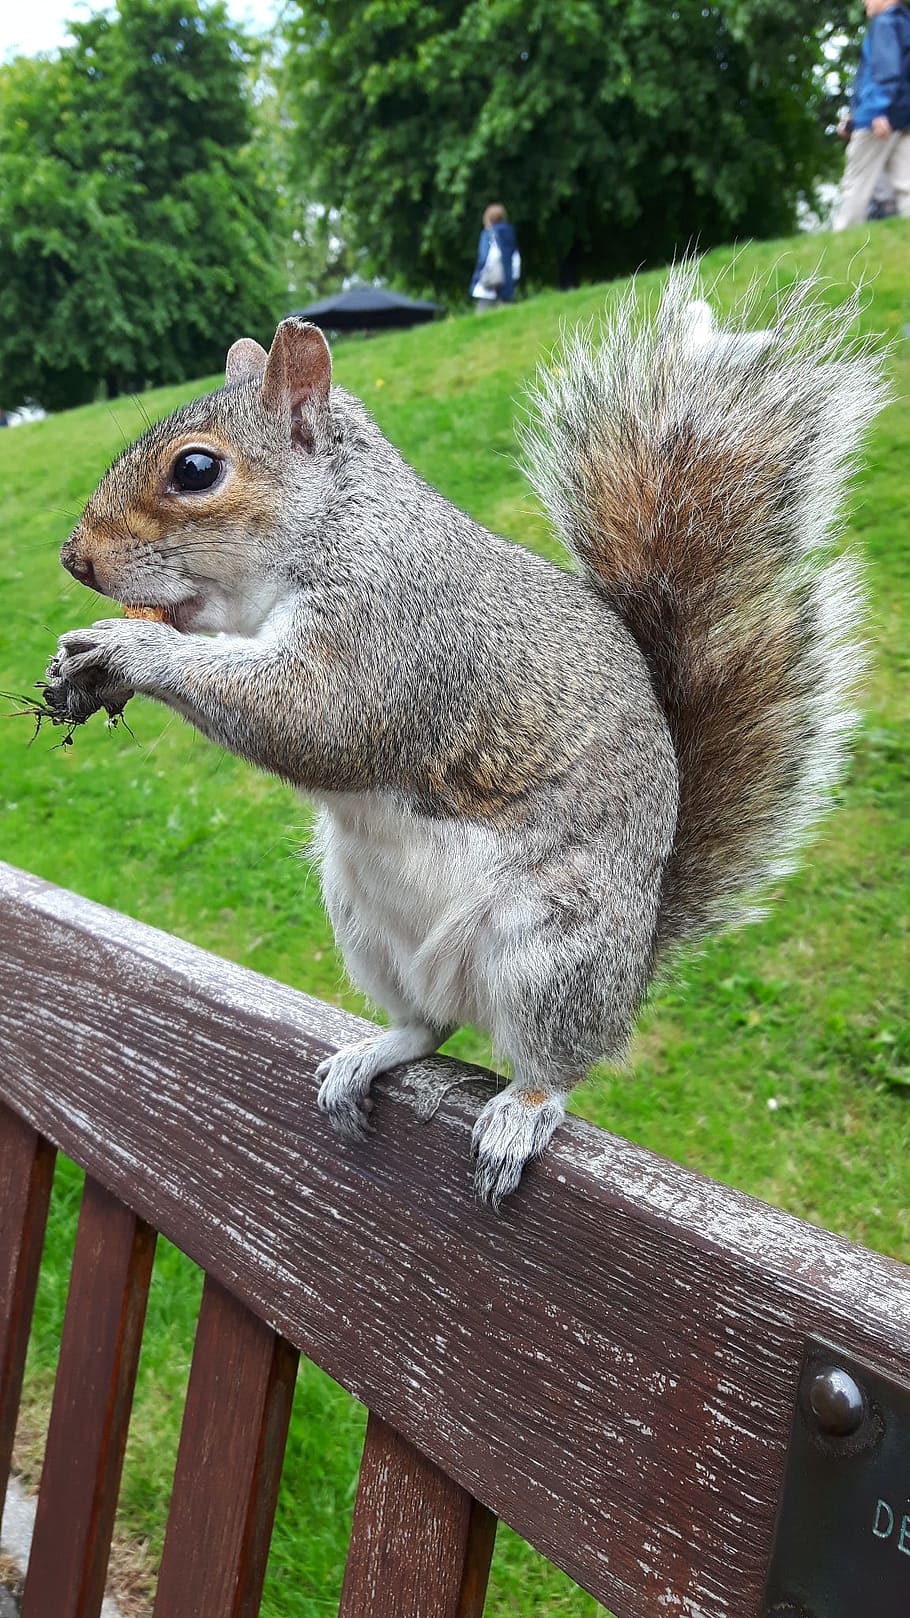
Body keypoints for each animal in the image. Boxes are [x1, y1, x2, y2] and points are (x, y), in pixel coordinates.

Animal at [50, 265, 883, 1206]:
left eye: (195, 469)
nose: (75, 559)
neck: (338, 523)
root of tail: (635, 966)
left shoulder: (395, 634)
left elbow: (314, 719)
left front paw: (130, 648)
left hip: (553, 949)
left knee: (557, 1061)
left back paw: (524, 1108)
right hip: (363, 922)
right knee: (428, 1028)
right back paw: (374, 1054)